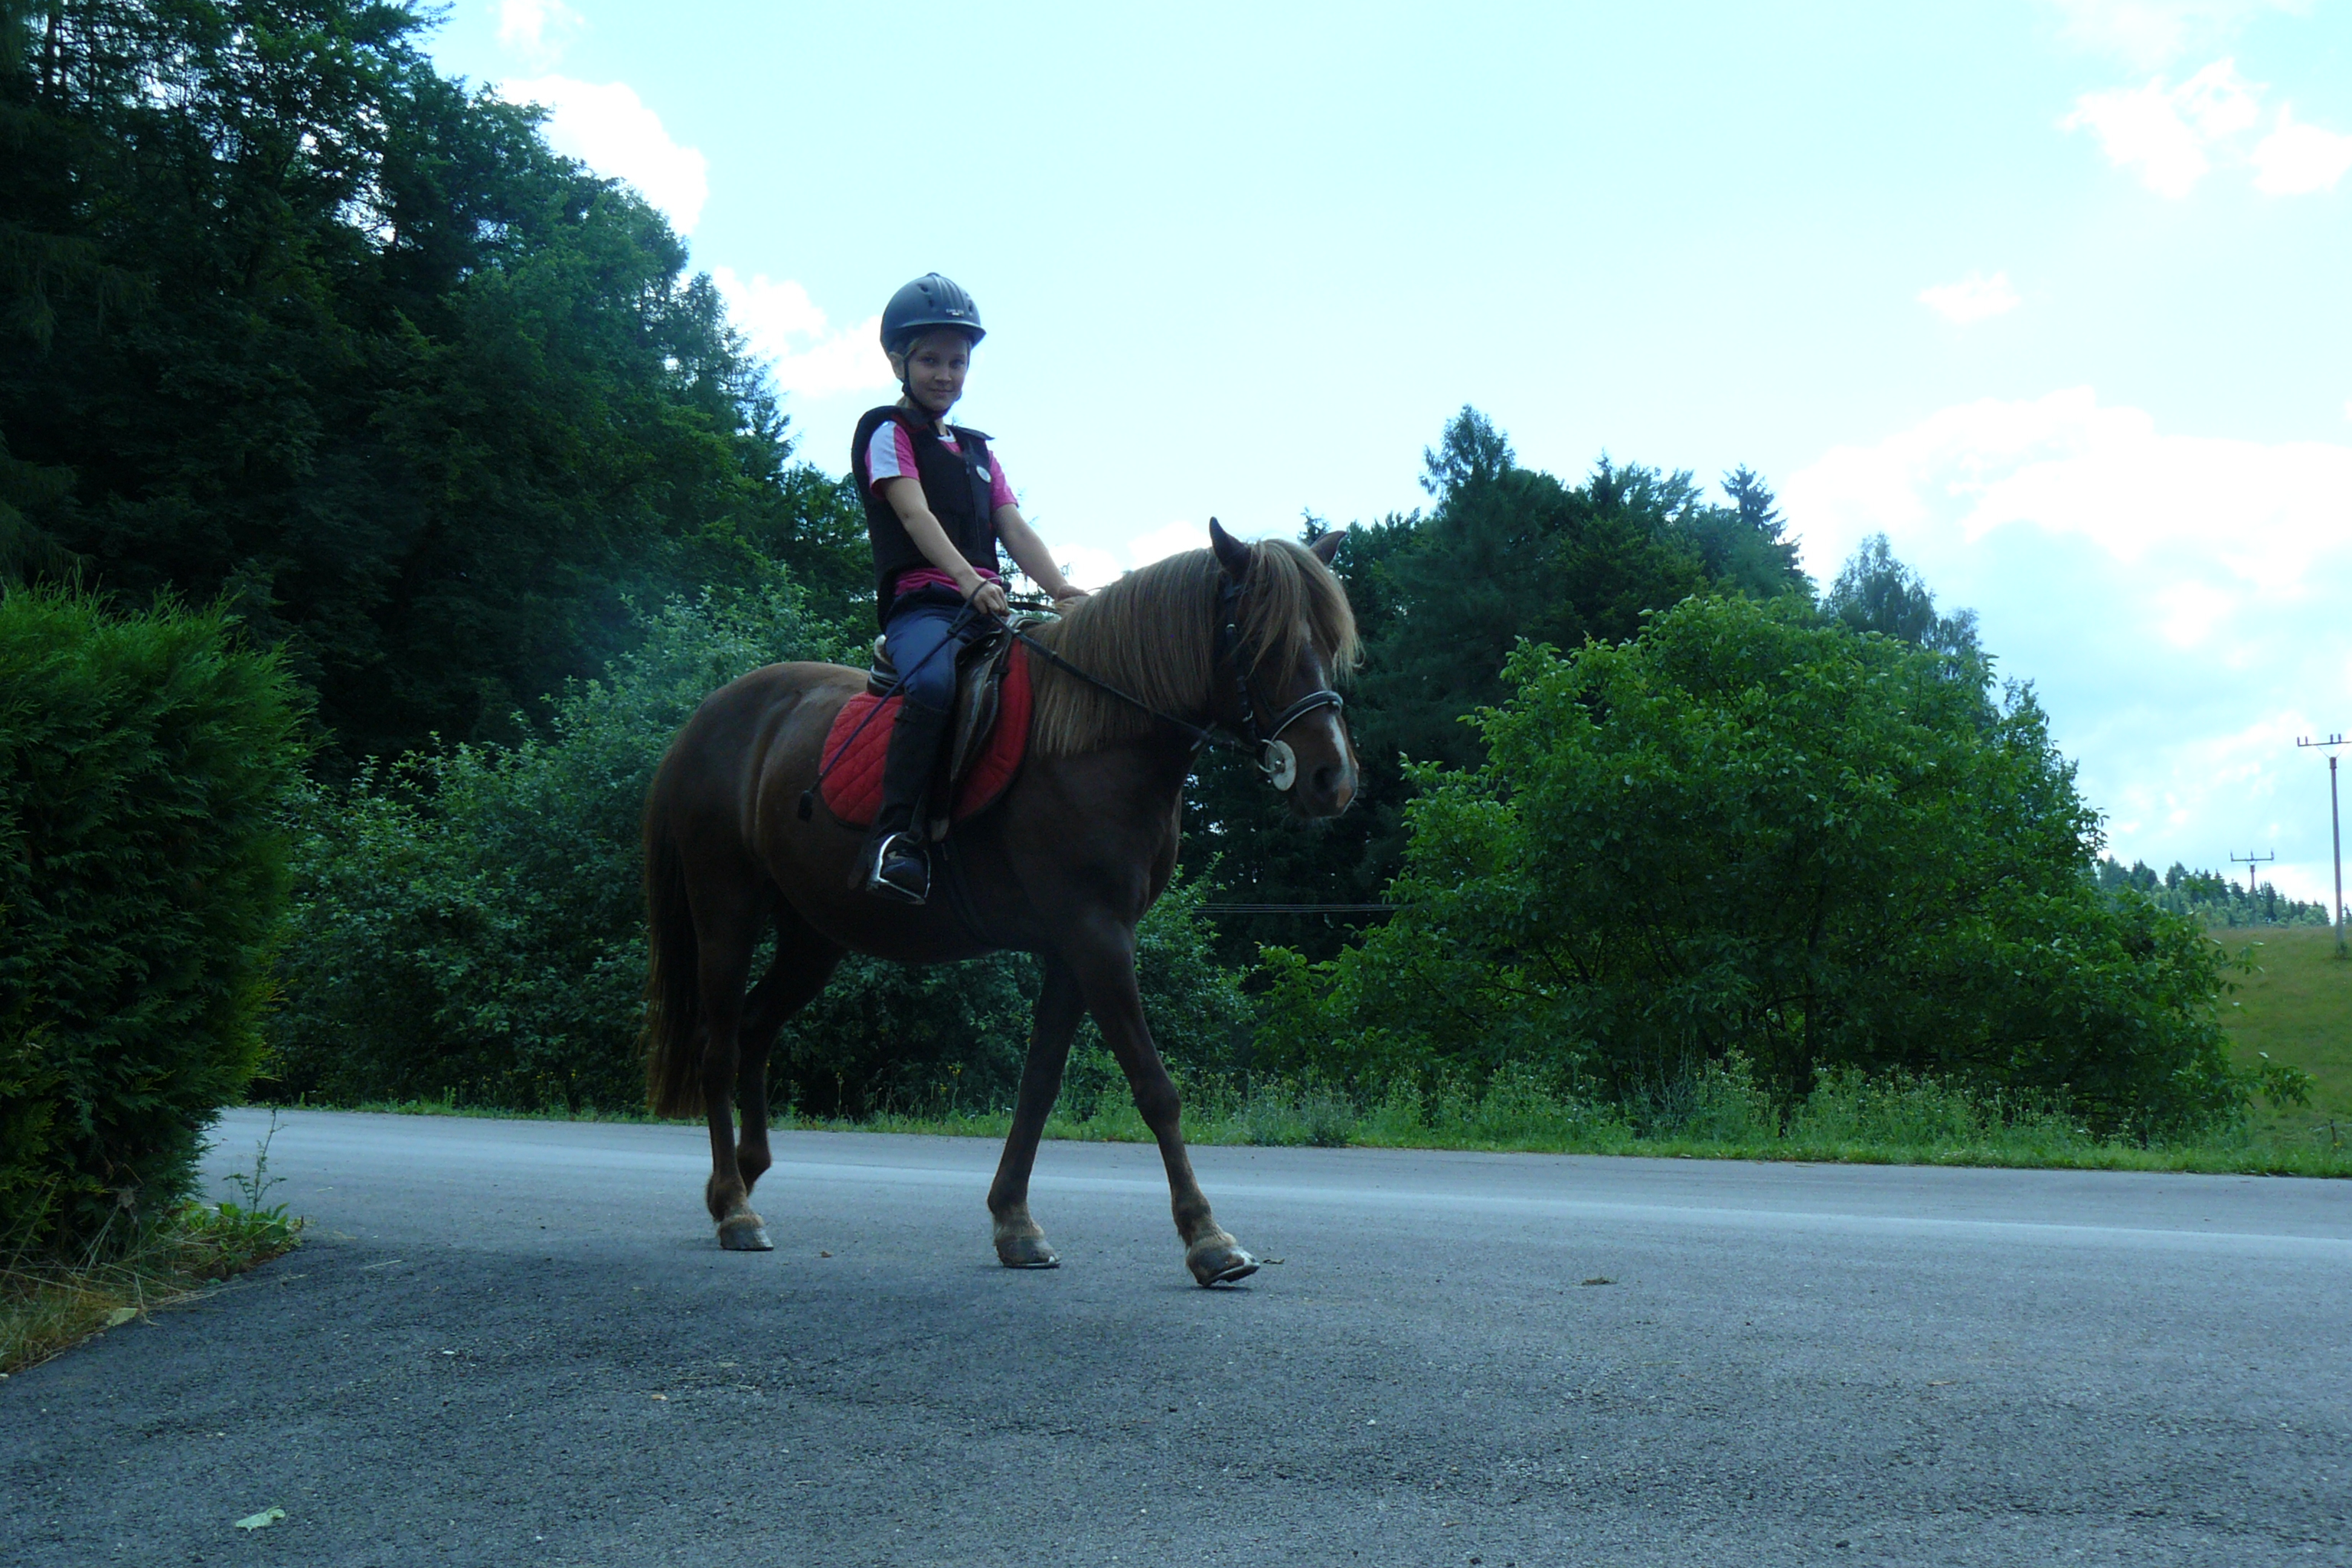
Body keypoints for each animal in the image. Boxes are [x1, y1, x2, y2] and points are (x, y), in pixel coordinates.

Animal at [635, 521, 1364, 1279]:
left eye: (1330, 641)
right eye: (1262, 640)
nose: (1331, 778)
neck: (1098, 738)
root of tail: (706, 718)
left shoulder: (1075, 947)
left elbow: (1038, 1085)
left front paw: (1014, 1219)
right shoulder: (1096, 935)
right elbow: (1154, 1087)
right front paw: (1208, 1238)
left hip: (813, 935)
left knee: (754, 1030)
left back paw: (742, 1177)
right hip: (726, 908)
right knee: (719, 1045)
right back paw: (735, 1207)